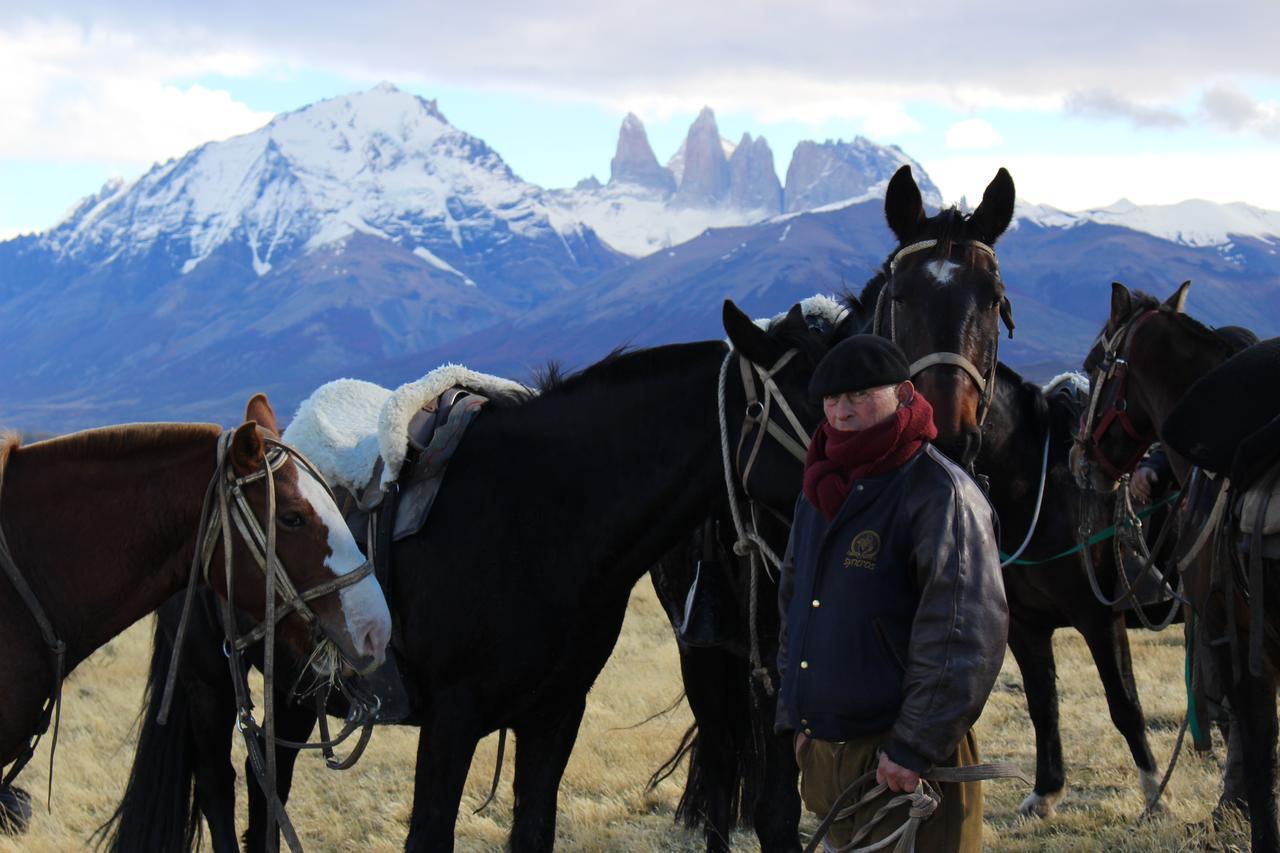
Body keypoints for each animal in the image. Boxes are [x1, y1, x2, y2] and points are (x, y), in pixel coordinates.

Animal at [104, 295, 855, 845]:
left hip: (289, 695)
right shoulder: (452, 719)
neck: (546, 516)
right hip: (208, 685)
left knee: (269, 798)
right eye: (823, 401)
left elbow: (533, 830)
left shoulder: (555, 715)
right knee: (221, 793)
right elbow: (428, 835)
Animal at [860, 163, 1162, 809]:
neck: (1033, 485)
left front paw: (1156, 793)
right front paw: (1046, 790)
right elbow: (1043, 703)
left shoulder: (1102, 616)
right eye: (899, 297)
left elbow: (1123, 703)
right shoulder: (1024, 624)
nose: (951, 437)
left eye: (994, 300)